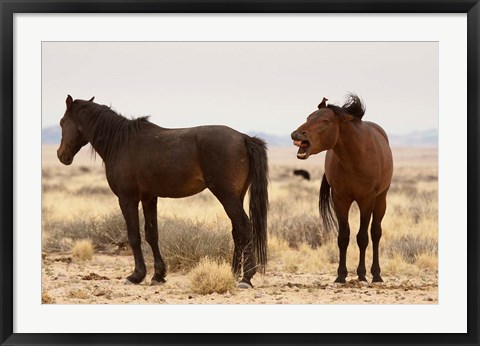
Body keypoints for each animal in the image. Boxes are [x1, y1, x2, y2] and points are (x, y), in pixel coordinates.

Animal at [57, 94, 268, 286]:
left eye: (61, 122)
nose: (61, 155)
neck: (121, 143)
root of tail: (243, 138)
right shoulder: (149, 198)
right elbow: (152, 234)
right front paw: (158, 275)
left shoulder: (127, 198)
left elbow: (134, 236)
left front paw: (136, 276)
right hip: (236, 196)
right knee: (237, 231)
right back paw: (233, 273)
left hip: (226, 195)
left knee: (244, 227)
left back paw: (246, 278)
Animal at [290, 93, 392, 282]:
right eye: (308, 118)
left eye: (325, 121)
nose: (296, 134)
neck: (354, 160)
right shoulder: (340, 199)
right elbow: (343, 236)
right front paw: (341, 275)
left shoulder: (366, 200)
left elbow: (363, 237)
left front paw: (361, 274)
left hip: (381, 199)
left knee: (376, 233)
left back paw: (376, 275)